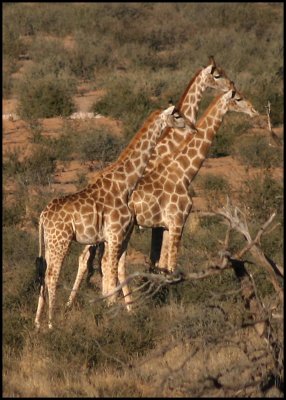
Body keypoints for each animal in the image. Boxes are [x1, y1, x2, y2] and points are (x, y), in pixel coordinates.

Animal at [34, 103, 190, 328]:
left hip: (49, 242)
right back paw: (51, 322)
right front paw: (112, 315)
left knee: (44, 273)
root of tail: (43, 216)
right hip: (60, 241)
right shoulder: (116, 235)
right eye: (177, 116)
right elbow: (111, 272)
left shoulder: (111, 237)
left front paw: (109, 310)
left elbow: (109, 273)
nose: (191, 127)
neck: (126, 184)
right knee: (52, 275)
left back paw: (38, 322)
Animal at [65, 55, 232, 306]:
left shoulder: (155, 223)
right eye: (218, 75)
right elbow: (160, 260)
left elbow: (156, 261)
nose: (232, 85)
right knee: (90, 258)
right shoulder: (161, 220)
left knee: (93, 259)